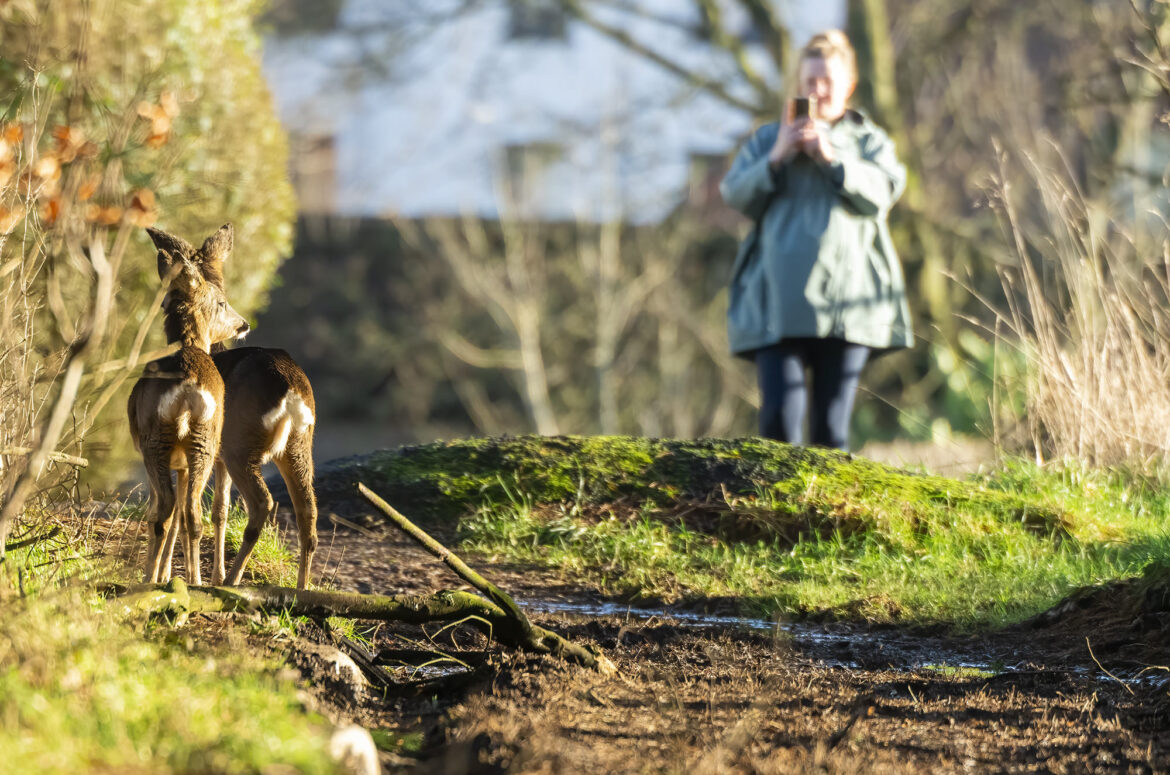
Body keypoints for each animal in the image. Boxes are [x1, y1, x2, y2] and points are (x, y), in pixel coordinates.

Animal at [128, 224, 250, 586]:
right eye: (222, 301)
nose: (244, 324)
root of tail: (186, 389)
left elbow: (162, 512)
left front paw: (162, 572)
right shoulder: (181, 462)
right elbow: (181, 516)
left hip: (157, 441)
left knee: (165, 510)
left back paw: (151, 579)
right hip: (202, 441)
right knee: (190, 512)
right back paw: (193, 581)